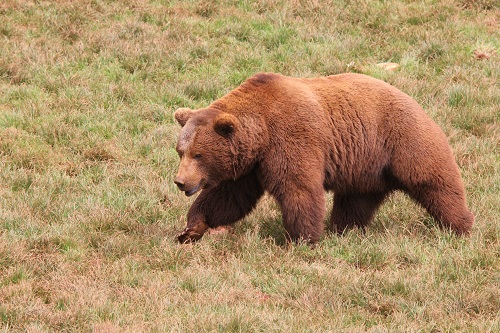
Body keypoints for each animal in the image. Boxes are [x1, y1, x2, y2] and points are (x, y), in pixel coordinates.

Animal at [174, 72, 474, 243]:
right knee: (356, 201)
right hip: (365, 166)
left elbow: (299, 187)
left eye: (199, 154)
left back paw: (460, 226)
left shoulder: (291, 137)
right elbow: (228, 197)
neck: (261, 131)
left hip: (402, 138)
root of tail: (416, 100)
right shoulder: (250, 165)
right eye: (180, 151)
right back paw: (343, 229)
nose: (180, 181)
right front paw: (190, 229)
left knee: (434, 181)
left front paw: (302, 238)